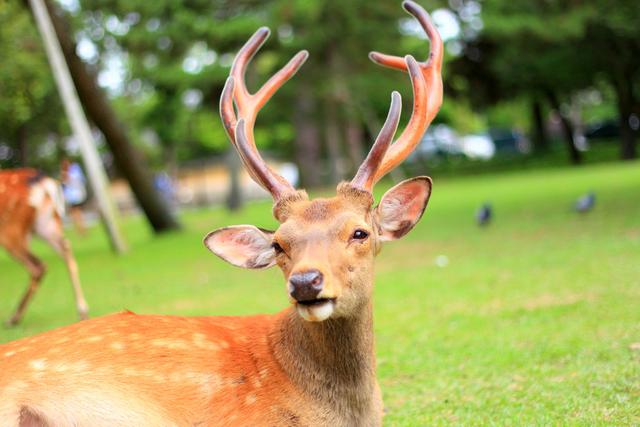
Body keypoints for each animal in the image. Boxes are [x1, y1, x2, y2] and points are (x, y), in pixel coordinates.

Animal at [0, 169, 88, 326]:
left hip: (10, 228)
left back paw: (13, 318)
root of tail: (44, 183)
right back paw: (83, 312)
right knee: (66, 248)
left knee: (37, 266)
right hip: (46, 223)